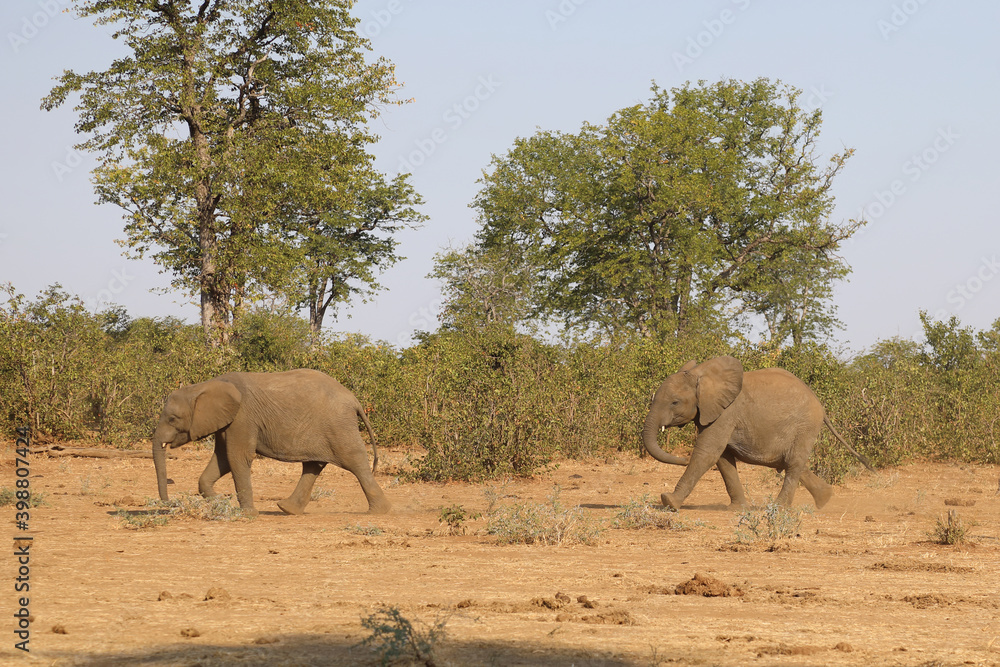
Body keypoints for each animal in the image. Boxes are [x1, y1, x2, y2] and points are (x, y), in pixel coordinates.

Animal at [151, 369, 390, 516]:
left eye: (172, 419)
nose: (168, 503)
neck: (206, 385)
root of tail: (354, 400)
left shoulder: (243, 417)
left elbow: (237, 457)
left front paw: (247, 514)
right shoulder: (227, 422)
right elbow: (222, 459)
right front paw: (219, 501)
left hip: (338, 425)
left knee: (354, 461)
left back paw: (379, 511)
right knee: (313, 465)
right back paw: (287, 509)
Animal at [641, 356, 874, 511]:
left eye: (674, 402)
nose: (682, 459)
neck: (702, 375)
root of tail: (821, 406)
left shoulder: (726, 413)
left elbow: (708, 452)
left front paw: (669, 502)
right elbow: (723, 458)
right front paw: (736, 509)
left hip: (806, 426)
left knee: (793, 464)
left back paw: (779, 508)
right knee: (790, 461)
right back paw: (824, 499)